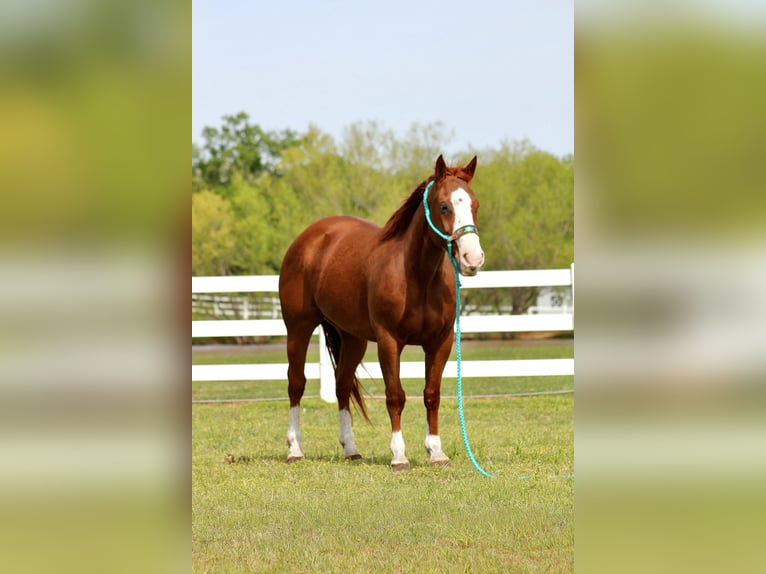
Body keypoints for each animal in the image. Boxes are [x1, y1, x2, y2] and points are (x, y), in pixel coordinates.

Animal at [278, 154, 485, 470]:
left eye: (474, 205)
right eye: (444, 206)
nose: (472, 259)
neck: (418, 276)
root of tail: (309, 238)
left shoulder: (440, 342)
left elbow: (432, 394)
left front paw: (436, 452)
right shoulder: (389, 342)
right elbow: (395, 396)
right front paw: (399, 455)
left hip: (353, 339)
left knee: (341, 386)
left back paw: (351, 449)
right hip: (298, 330)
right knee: (296, 384)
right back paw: (295, 449)